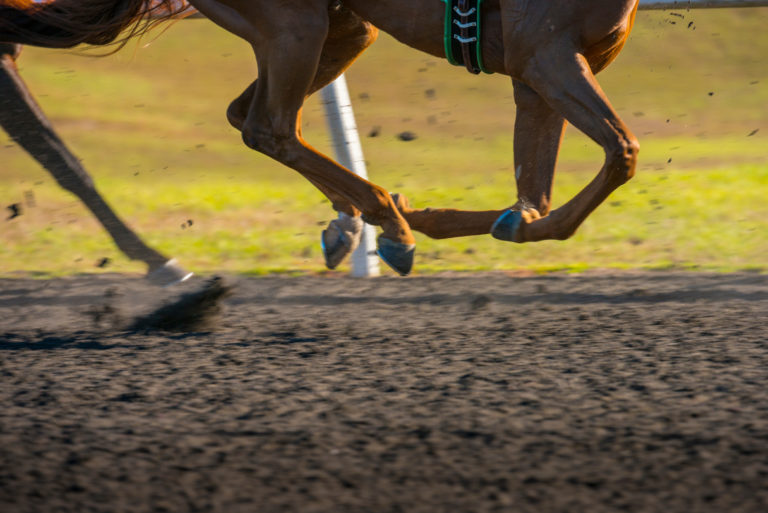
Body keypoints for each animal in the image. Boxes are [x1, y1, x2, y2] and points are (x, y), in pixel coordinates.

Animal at [0, 1, 640, 276]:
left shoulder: (544, 70)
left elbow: (536, 199)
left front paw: (480, 219)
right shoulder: (547, 55)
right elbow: (621, 154)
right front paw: (412, 216)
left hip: (342, 26)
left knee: (251, 117)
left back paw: (364, 219)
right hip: (294, 25)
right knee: (269, 128)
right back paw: (388, 221)